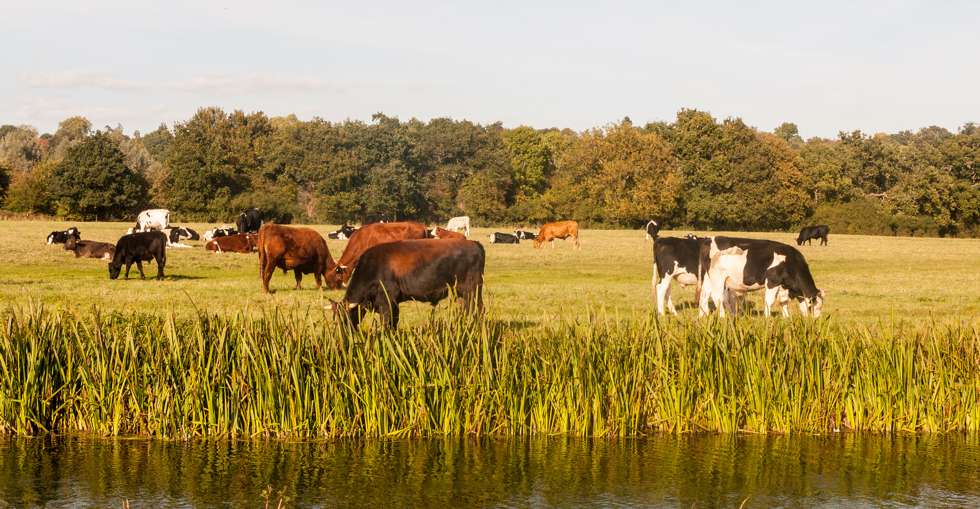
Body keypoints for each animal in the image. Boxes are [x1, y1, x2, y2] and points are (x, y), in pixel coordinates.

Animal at [326, 239, 486, 330]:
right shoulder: (395, 302)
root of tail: (474, 243)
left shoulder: (387, 300)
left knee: (479, 310)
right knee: (465, 310)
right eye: (335, 320)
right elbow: (394, 323)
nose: (342, 337)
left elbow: (386, 324)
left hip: (473, 290)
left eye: (346, 317)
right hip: (461, 293)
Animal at [696, 235, 828, 316]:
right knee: (717, 296)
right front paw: (767, 318)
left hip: (708, 277)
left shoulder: (783, 286)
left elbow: (783, 302)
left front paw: (786, 318)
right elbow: (769, 301)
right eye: (815, 305)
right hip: (718, 277)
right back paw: (723, 317)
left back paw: (703, 316)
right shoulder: (772, 281)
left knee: (704, 295)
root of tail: (709, 238)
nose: (814, 320)